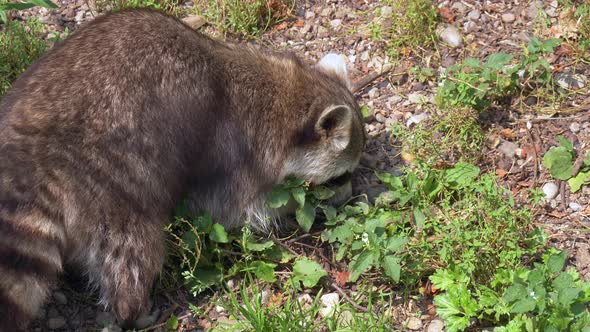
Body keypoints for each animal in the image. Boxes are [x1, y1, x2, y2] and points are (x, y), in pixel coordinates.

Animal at [0, 9, 366, 330]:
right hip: (112, 183)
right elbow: (239, 212)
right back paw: (133, 308)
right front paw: (291, 207)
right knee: (133, 252)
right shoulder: (238, 151)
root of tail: (35, 158)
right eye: (340, 178)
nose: (351, 198)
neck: (286, 92)